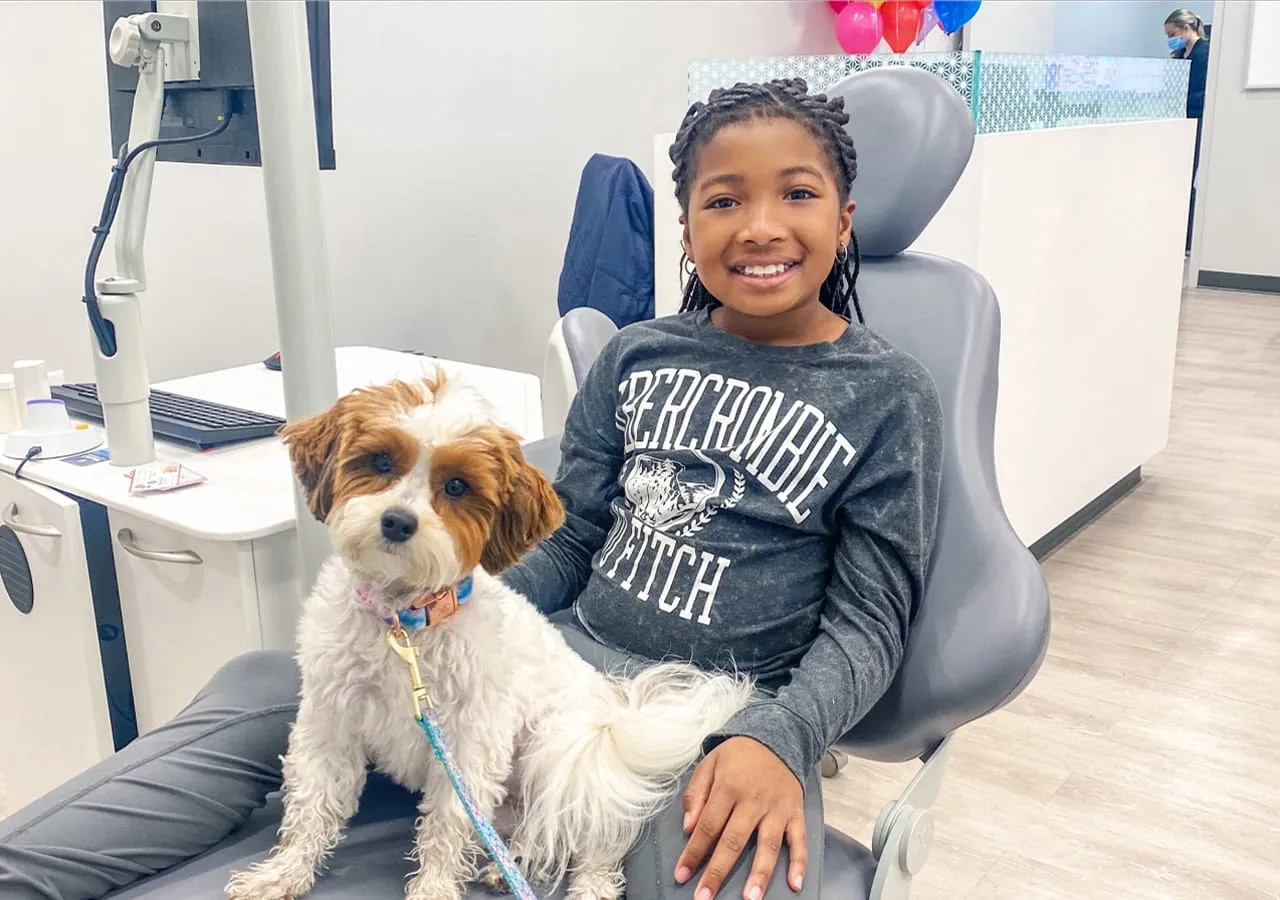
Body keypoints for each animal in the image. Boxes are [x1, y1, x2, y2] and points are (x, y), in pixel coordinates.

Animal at [224, 374, 752, 900]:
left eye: (456, 486)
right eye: (381, 462)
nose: (397, 521)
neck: (405, 626)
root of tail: (614, 713)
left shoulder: (468, 744)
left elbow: (447, 824)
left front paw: (434, 889)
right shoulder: (331, 721)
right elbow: (313, 803)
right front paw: (283, 873)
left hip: (567, 751)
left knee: (590, 839)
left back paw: (583, 883)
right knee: (536, 826)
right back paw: (510, 862)